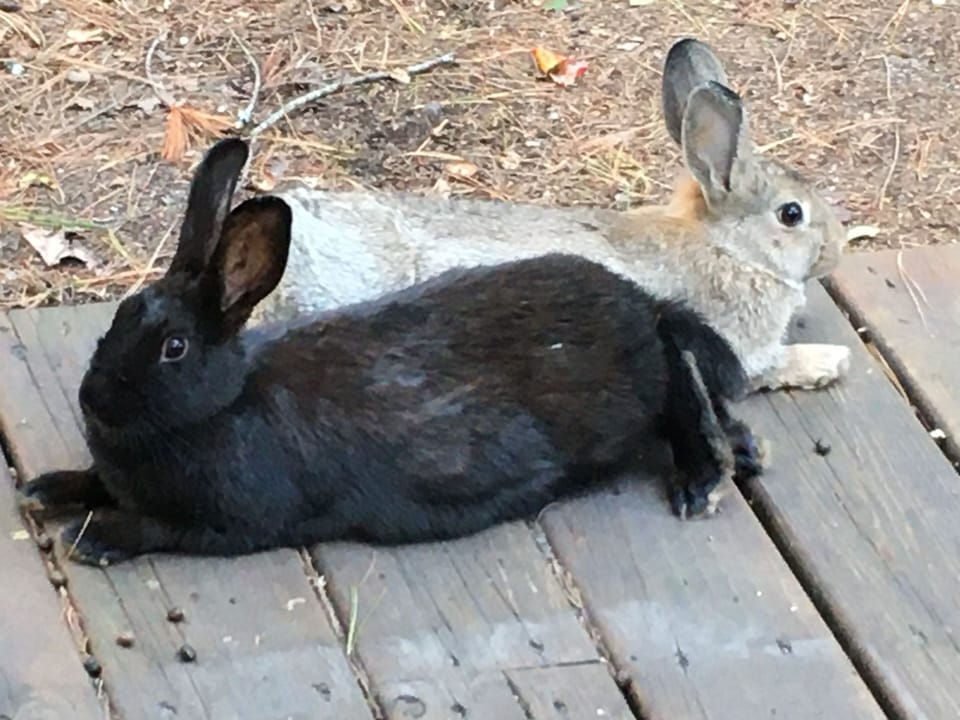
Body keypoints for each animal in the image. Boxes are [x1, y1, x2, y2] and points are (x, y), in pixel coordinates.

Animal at [18, 138, 764, 567]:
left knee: (679, 389)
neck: (221, 408)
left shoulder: (234, 522)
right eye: (117, 319)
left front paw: (96, 537)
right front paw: (46, 488)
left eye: (174, 347)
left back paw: (701, 479)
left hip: (632, 390)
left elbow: (157, 528)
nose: (92, 399)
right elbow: (94, 480)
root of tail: (642, 306)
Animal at [236, 37, 849, 392]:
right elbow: (773, 366)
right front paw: (830, 362)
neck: (726, 246)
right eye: (791, 214)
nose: (835, 251)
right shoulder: (737, 348)